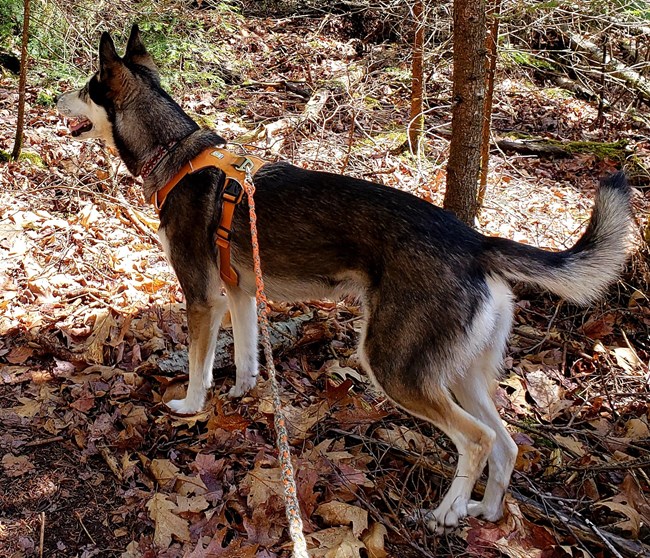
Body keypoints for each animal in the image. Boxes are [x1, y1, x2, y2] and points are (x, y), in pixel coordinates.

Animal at [58, 26, 632, 532]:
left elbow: (200, 368)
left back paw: (445, 514)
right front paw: (244, 394)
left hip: (394, 367)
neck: (177, 153)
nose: (55, 99)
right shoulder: (239, 294)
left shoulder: (202, 299)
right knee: (508, 443)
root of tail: (474, 242)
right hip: (461, 373)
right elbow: (245, 357)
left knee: (476, 441)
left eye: (85, 88)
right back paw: (484, 512)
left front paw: (190, 408)